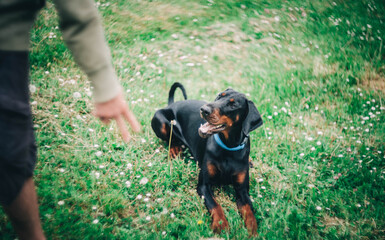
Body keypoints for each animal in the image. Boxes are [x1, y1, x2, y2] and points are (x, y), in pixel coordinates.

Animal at [152, 82, 262, 234]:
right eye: (219, 95)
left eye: (233, 105)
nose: (204, 110)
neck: (228, 147)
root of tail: (172, 104)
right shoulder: (204, 185)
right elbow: (215, 204)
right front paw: (221, 224)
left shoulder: (242, 190)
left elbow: (249, 209)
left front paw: (253, 230)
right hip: (161, 120)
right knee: (170, 139)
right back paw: (174, 150)